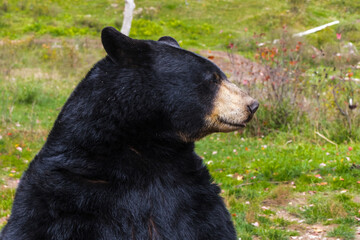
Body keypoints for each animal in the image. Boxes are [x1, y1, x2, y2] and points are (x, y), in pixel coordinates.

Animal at [0, 27, 258, 239]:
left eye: (221, 75)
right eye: (213, 79)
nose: (252, 105)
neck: (148, 148)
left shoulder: (191, 193)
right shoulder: (67, 195)